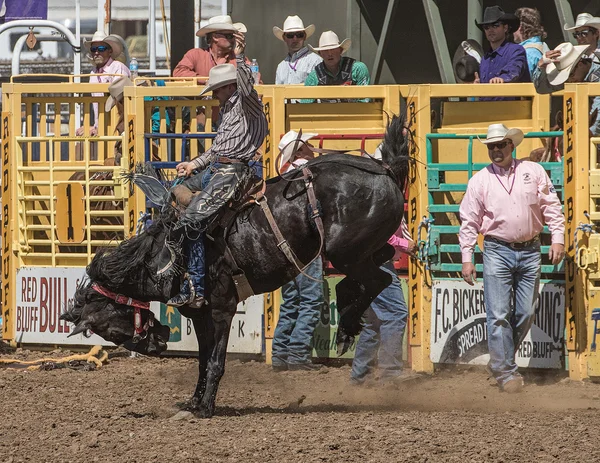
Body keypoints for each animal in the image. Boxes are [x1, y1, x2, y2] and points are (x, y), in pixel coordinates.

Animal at [61, 114, 410, 418]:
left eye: (110, 330)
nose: (157, 343)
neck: (163, 257)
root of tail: (383, 168)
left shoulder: (221, 310)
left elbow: (216, 361)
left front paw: (205, 408)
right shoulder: (199, 315)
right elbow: (203, 361)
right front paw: (193, 402)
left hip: (344, 251)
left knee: (374, 279)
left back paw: (347, 328)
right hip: (359, 250)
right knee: (378, 265)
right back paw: (348, 326)